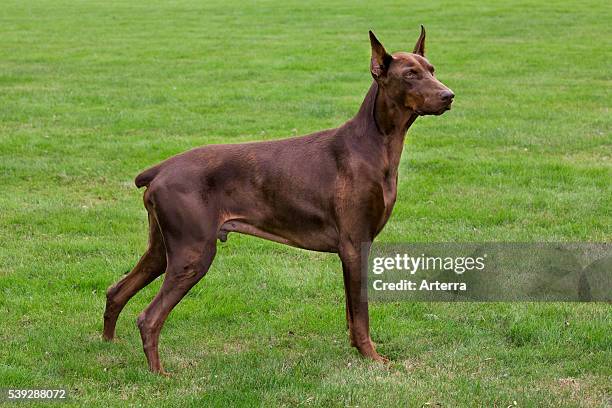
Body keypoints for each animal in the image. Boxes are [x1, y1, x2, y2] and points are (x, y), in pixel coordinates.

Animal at [101, 27, 454, 374]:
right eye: (410, 75)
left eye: (432, 70)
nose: (449, 95)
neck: (374, 144)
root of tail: (160, 169)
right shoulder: (356, 245)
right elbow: (361, 314)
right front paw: (373, 358)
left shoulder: (350, 250)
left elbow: (352, 315)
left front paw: (358, 351)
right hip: (193, 252)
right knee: (149, 317)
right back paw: (159, 373)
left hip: (163, 249)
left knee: (116, 291)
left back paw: (107, 347)